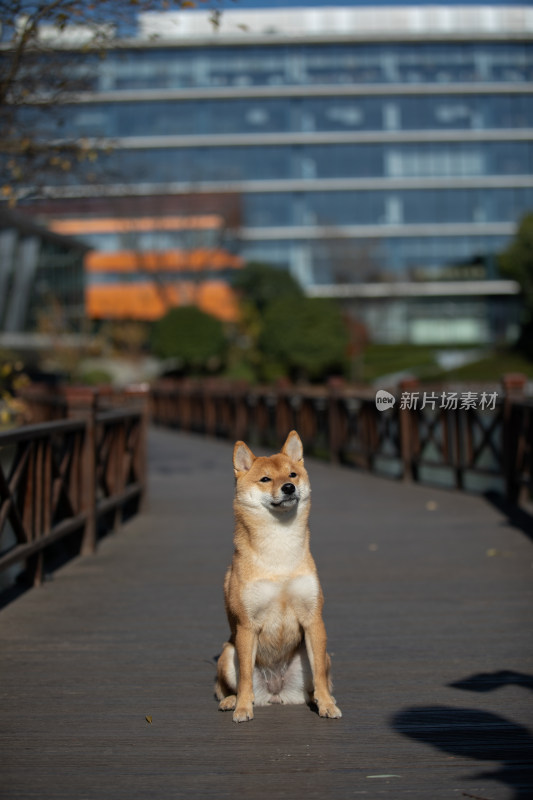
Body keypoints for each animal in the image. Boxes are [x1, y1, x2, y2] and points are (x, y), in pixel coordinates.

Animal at [215, 432, 342, 724]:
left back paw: (319, 698)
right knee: (228, 686)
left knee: (316, 681)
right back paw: (232, 701)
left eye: (292, 474)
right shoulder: (246, 626)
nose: (288, 487)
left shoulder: (313, 619)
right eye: (265, 479)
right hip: (228, 652)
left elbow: (320, 675)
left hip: (319, 656)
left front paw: (326, 704)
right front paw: (242, 708)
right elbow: (245, 677)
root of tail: (275, 692)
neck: (279, 552)